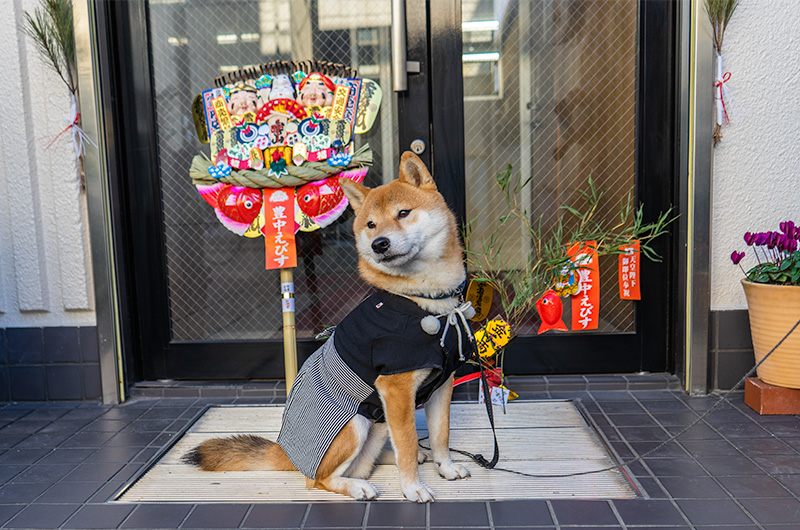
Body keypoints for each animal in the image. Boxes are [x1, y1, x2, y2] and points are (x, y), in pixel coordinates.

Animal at [186, 152, 476, 500]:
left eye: (403, 213)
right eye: (370, 225)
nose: (379, 244)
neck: (422, 301)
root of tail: (289, 452)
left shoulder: (442, 385)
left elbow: (440, 436)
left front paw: (445, 468)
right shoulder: (396, 390)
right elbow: (406, 444)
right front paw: (412, 487)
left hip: (378, 422)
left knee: (374, 452)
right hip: (356, 423)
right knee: (320, 479)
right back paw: (357, 486)